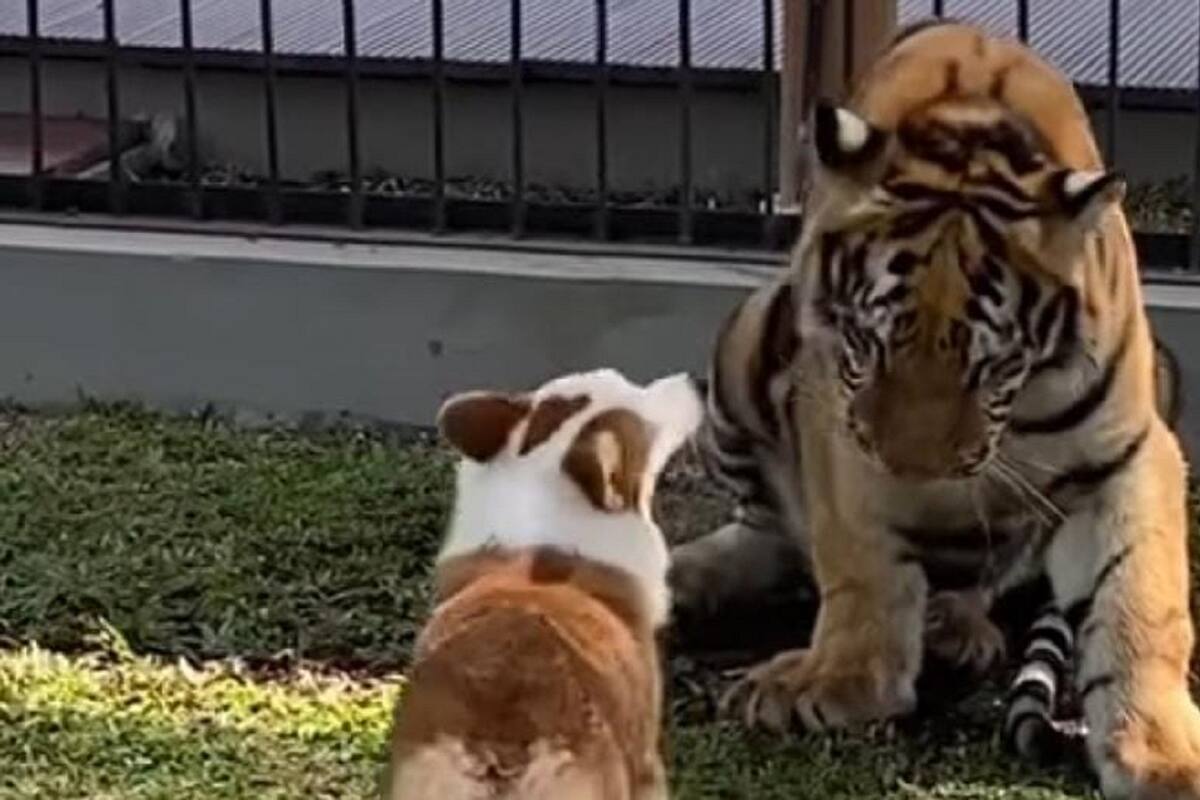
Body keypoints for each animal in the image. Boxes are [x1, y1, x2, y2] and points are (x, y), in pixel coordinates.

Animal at [668, 19, 1200, 799]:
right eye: (869, 342)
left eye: (992, 364)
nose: (915, 475)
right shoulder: (836, 419)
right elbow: (858, 561)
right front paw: (839, 684)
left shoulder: (1127, 450)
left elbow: (1139, 597)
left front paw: (1160, 752)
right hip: (744, 340)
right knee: (772, 534)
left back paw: (957, 626)